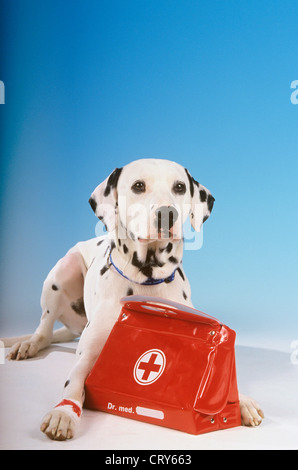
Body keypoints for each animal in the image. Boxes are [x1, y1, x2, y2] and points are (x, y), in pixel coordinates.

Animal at [1, 159, 264, 440]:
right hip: (61, 272)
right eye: (138, 186)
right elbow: (73, 384)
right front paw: (63, 413)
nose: (167, 213)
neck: (146, 279)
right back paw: (28, 344)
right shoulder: (87, 356)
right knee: (44, 329)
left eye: (180, 187)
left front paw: (241, 400)